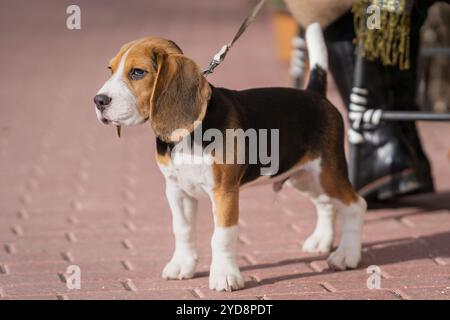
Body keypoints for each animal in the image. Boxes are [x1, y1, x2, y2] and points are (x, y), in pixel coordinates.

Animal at [94, 23, 366, 292]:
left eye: (137, 72)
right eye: (110, 69)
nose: (98, 101)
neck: (189, 133)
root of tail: (315, 94)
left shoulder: (224, 191)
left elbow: (222, 236)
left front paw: (225, 276)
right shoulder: (176, 189)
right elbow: (182, 229)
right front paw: (182, 265)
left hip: (327, 172)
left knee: (355, 205)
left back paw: (346, 255)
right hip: (304, 177)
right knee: (326, 204)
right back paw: (321, 241)